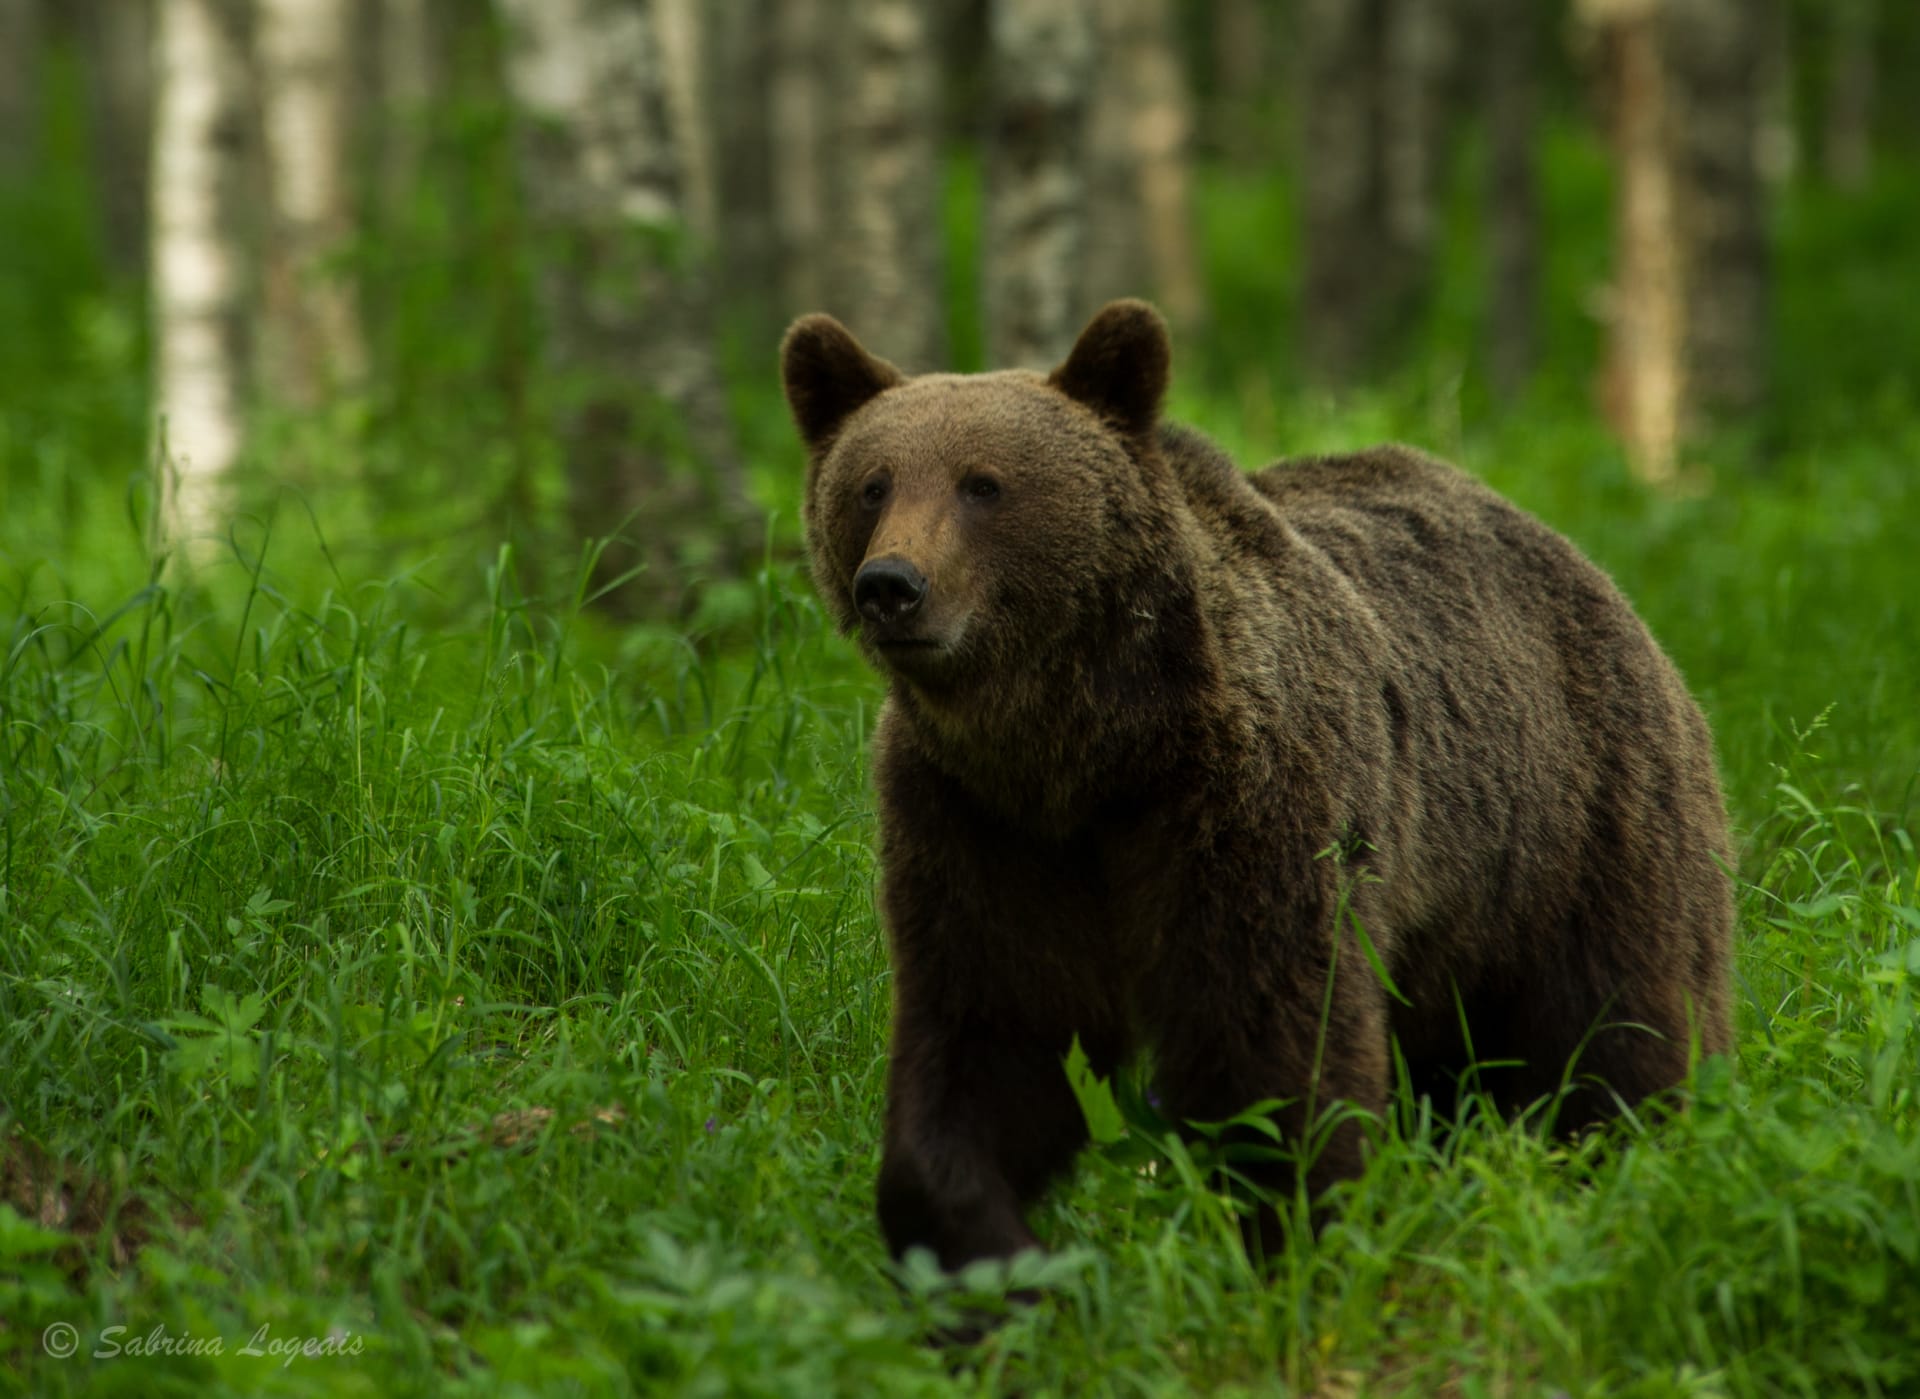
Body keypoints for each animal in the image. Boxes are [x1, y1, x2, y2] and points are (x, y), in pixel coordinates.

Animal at [771, 295, 1735, 1266]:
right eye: (873, 484)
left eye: (983, 484)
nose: (892, 584)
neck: (1087, 749)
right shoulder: (977, 825)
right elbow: (991, 1035)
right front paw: (994, 1255)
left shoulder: (1247, 800)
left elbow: (1270, 1037)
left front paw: (1292, 1227)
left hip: (1580, 830)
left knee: (1619, 1030)